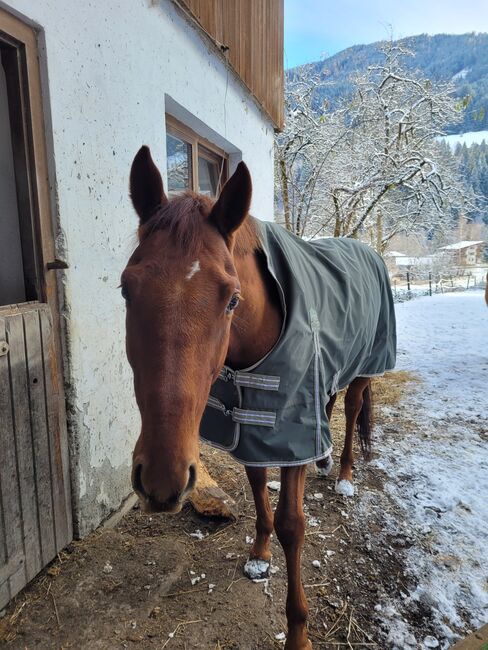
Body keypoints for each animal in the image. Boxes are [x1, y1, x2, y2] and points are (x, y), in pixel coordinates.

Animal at [125, 147, 374, 648]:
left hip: (361, 369)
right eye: (125, 289)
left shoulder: (290, 433)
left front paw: (298, 632)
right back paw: (326, 461)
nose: (162, 480)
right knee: (330, 404)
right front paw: (259, 554)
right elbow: (259, 488)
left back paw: (343, 475)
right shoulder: (252, 424)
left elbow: (292, 526)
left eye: (232, 300)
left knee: (353, 405)